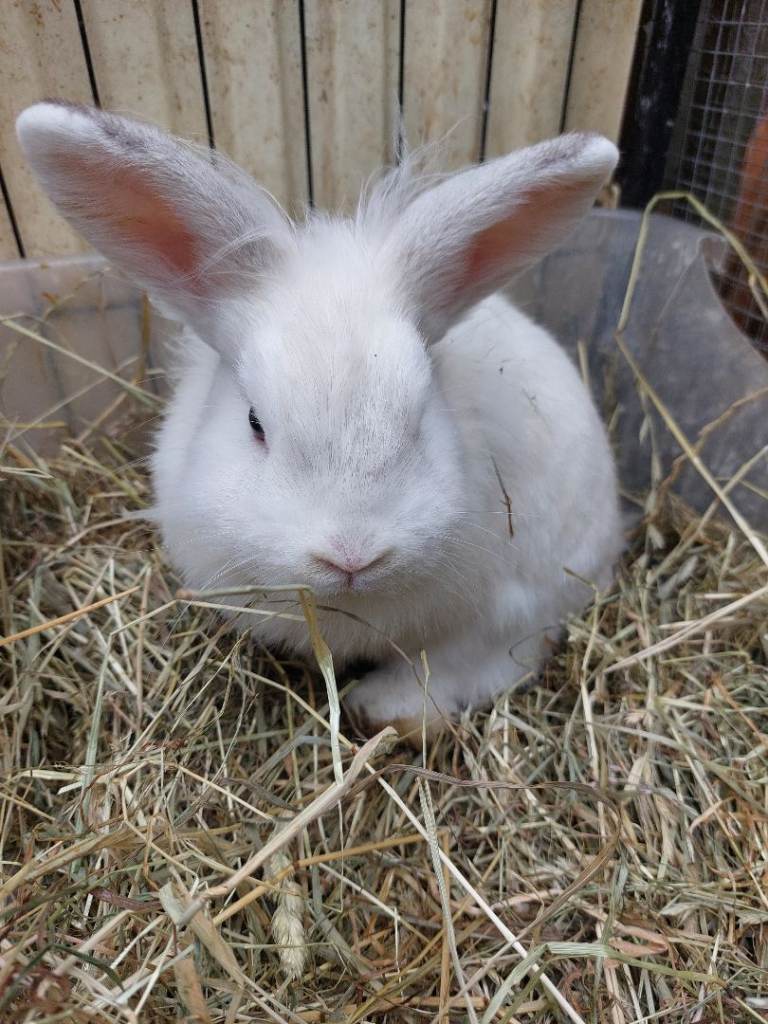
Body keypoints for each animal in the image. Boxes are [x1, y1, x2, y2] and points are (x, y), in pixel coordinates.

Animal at [17, 101, 622, 741]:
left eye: (421, 414)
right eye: (254, 422)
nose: (352, 556)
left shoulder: (496, 603)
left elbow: (467, 660)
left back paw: (381, 707)